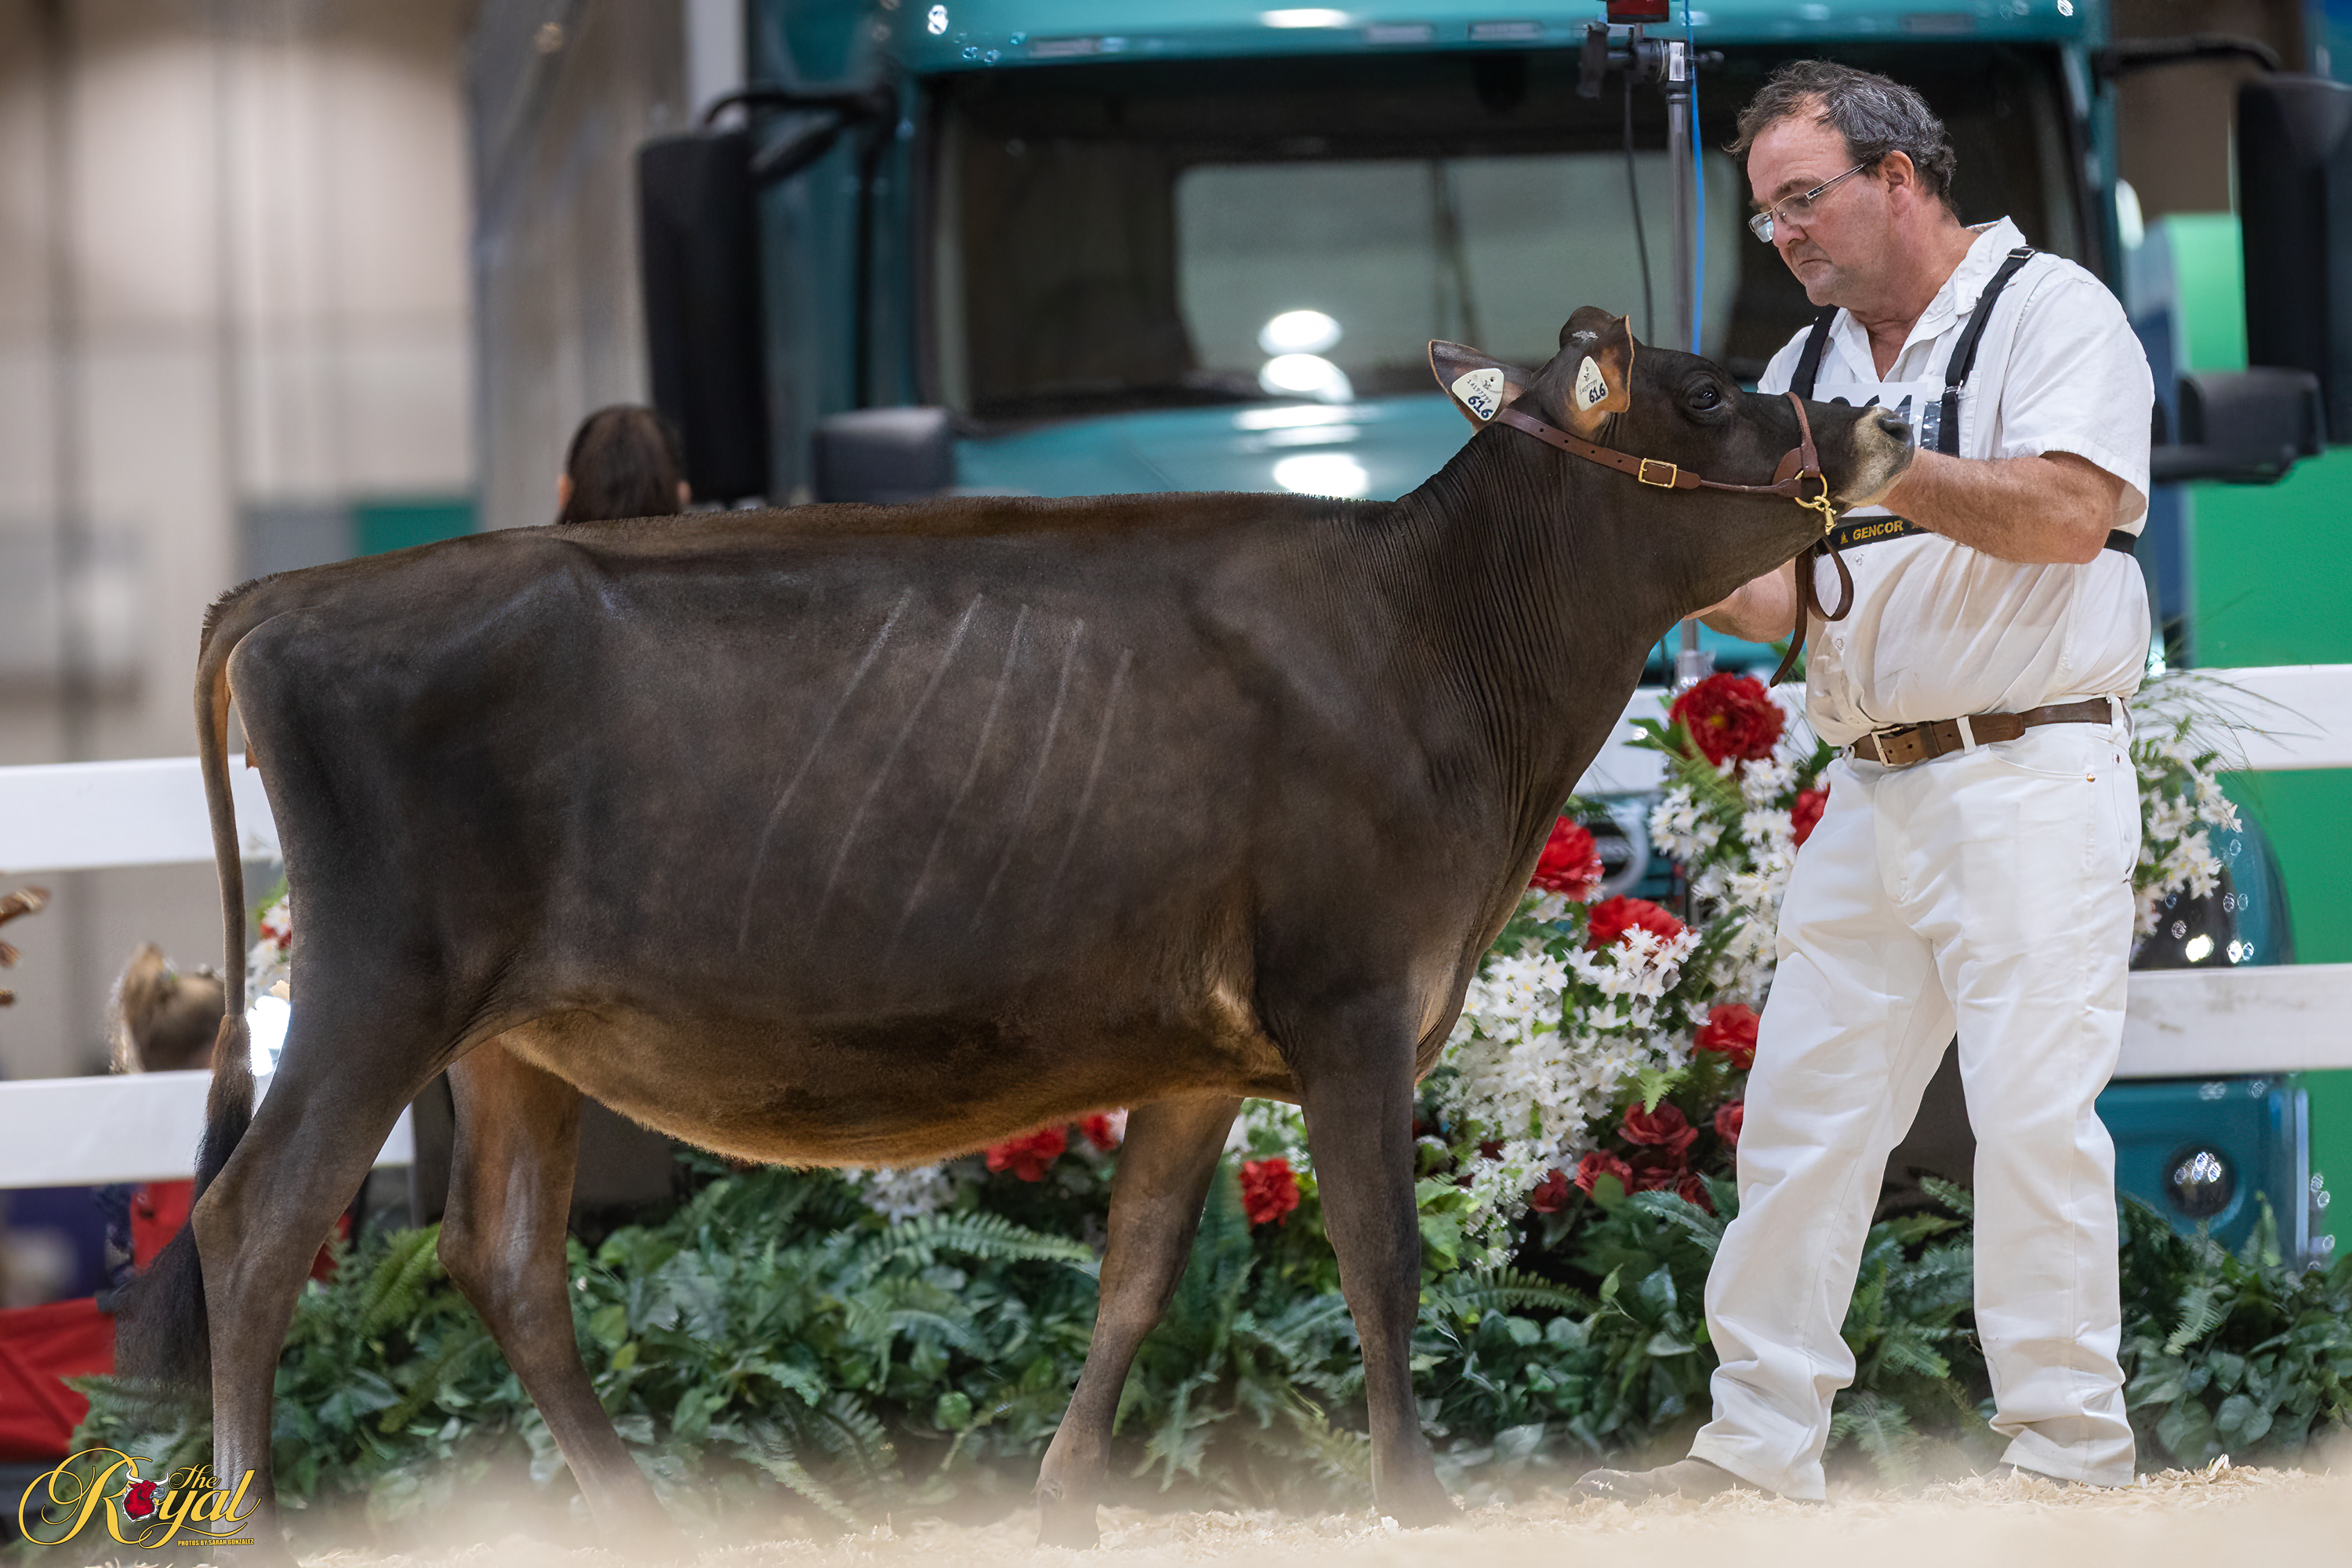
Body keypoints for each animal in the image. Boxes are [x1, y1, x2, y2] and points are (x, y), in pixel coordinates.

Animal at [118, 309, 1910, 1561]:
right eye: (1708, 391)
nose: (1887, 419)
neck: (1441, 645)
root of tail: (293, 593)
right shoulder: (1351, 1000)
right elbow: (1381, 1259)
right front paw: (1416, 1495)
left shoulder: (1204, 1053)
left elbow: (1136, 1272)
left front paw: (1059, 1499)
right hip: (377, 986)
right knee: (253, 1226)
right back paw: (257, 1520)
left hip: (514, 1037)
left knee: (500, 1257)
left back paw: (639, 1517)